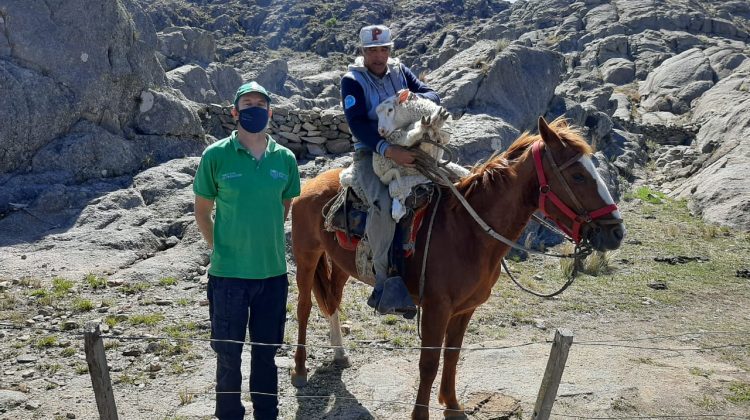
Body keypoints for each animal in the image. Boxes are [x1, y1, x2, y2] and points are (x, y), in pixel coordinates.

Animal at [290, 116, 624, 418]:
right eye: (578, 176)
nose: (616, 232)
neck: (466, 232)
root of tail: (312, 184)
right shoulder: (437, 309)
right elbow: (429, 364)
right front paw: (421, 415)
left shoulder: (465, 309)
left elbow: (452, 356)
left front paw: (452, 406)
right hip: (306, 256)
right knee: (304, 308)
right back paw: (299, 369)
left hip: (342, 265)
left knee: (332, 301)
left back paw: (339, 353)